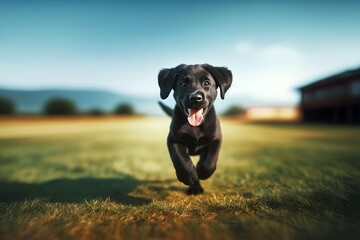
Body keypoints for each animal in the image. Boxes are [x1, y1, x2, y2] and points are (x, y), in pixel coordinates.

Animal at [158, 63, 232, 195]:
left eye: (207, 83)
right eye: (183, 83)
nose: (195, 98)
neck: (195, 127)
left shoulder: (216, 139)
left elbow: (210, 161)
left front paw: (201, 171)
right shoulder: (173, 140)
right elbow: (181, 159)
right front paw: (187, 176)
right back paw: (194, 187)